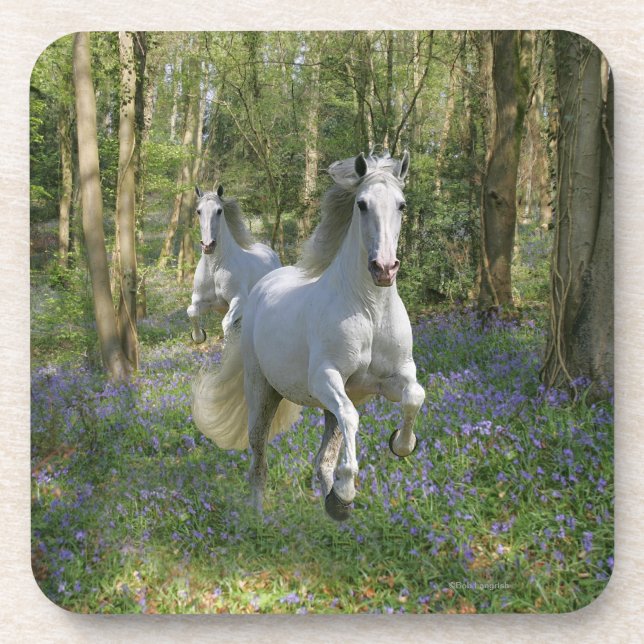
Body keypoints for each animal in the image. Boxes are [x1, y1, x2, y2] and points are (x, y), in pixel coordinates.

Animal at [187, 185, 281, 343]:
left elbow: (226, 324)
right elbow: (191, 311)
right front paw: (199, 337)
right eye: (198, 211)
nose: (208, 246)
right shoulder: (202, 301)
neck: (215, 268)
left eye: (219, 210)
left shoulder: (239, 300)